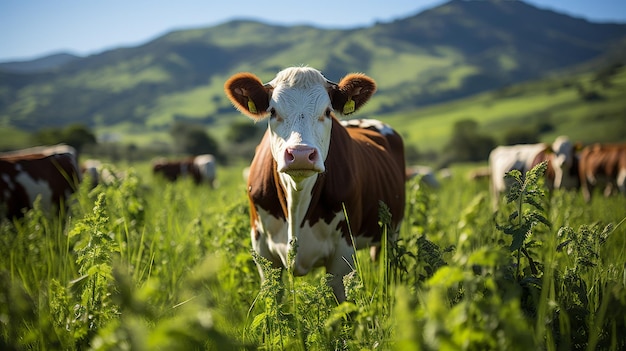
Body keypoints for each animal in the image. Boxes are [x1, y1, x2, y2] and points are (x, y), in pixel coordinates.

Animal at [224, 66, 404, 302]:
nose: (300, 154)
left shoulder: (343, 251)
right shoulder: (262, 248)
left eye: (327, 111)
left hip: (392, 232)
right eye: (272, 111)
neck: (297, 200)